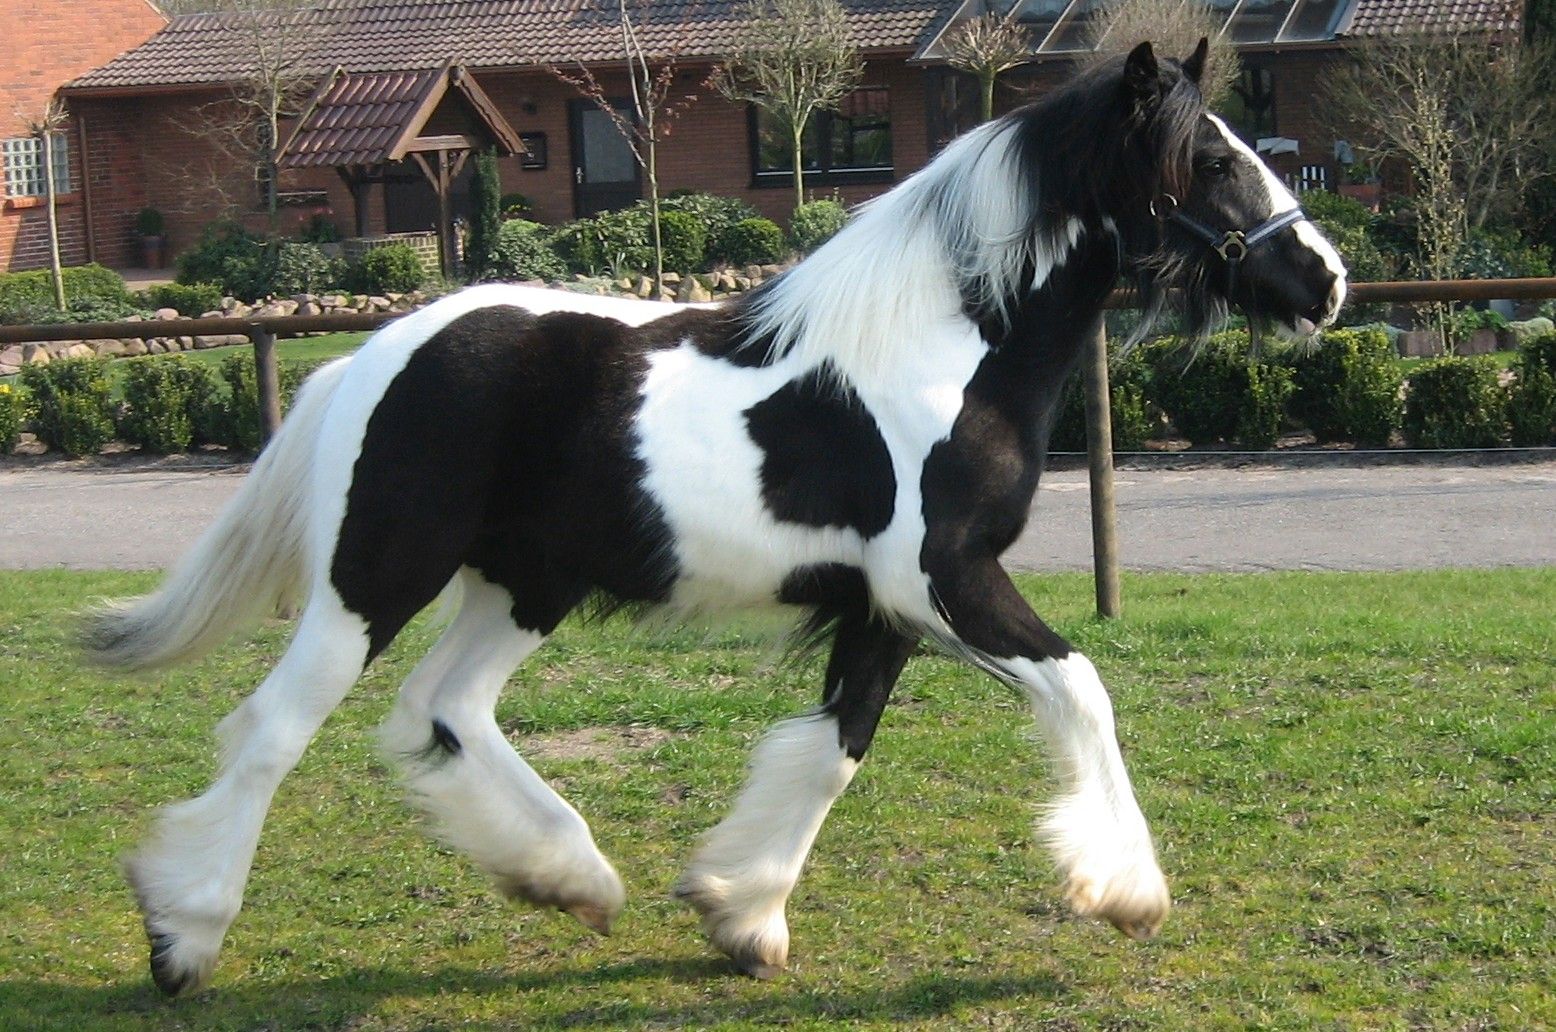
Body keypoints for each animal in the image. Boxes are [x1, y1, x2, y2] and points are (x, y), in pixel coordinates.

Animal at [87, 39, 1345, 996]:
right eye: (1209, 159)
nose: (1324, 278)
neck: (946, 352)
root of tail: (369, 356)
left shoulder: (882, 608)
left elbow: (833, 751)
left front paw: (738, 913)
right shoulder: (944, 581)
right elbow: (1080, 687)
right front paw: (1125, 891)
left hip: (527, 583)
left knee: (443, 711)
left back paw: (570, 877)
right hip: (379, 575)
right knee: (272, 729)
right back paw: (183, 933)